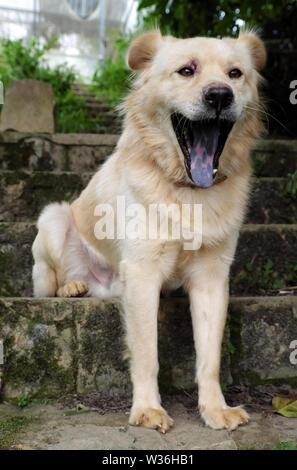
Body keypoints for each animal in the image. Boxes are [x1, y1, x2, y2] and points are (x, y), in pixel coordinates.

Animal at [32, 29, 266, 434]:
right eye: (187, 70)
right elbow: (146, 353)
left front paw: (214, 409)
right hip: (54, 218)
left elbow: (210, 356)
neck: (189, 191)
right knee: (52, 281)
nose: (220, 95)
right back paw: (72, 286)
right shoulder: (143, 273)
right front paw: (146, 409)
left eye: (235, 74)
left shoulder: (211, 277)